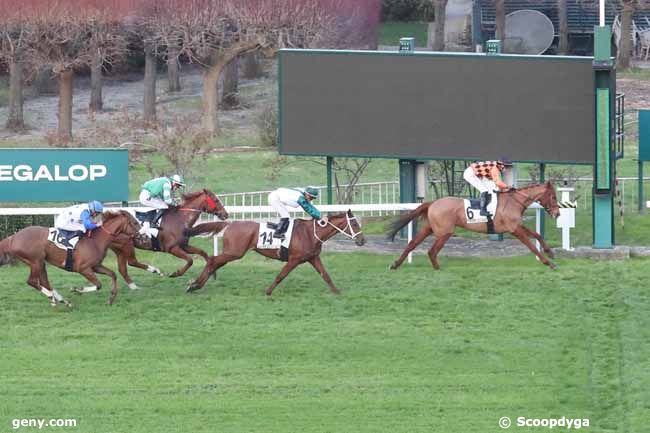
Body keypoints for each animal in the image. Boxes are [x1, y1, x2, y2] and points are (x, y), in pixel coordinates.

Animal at [0, 210, 140, 306]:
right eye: (135, 222)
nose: (141, 235)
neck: (96, 240)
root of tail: (13, 237)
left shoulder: (96, 266)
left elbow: (113, 274)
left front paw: (111, 298)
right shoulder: (83, 268)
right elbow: (98, 285)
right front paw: (77, 289)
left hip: (40, 262)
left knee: (44, 282)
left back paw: (62, 300)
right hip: (35, 261)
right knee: (32, 281)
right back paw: (53, 298)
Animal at [185, 210, 364, 296]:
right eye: (355, 224)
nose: (362, 241)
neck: (310, 233)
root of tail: (230, 223)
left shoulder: (313, 258)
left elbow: (325, 275)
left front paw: (337, 292)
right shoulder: (294, 260)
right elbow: (281, 275)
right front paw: (268, 292)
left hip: (233, 252)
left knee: (214, 262)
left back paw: (196, 285)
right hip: (234, 252)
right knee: (213, 260)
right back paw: (194, 285)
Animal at [384, 180, 556, 268]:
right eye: (553, 196)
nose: (557, 213)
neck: (514, 202)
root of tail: (433, 203)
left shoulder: (516, 226)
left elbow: (537, 235)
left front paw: (550, 252)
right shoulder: (514, 229)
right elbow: (531, 245)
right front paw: (548, 262)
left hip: (429, 229)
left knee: (412, 244)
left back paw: (396, 264)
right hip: (444, 232)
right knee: (432, 251)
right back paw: (437, 268)